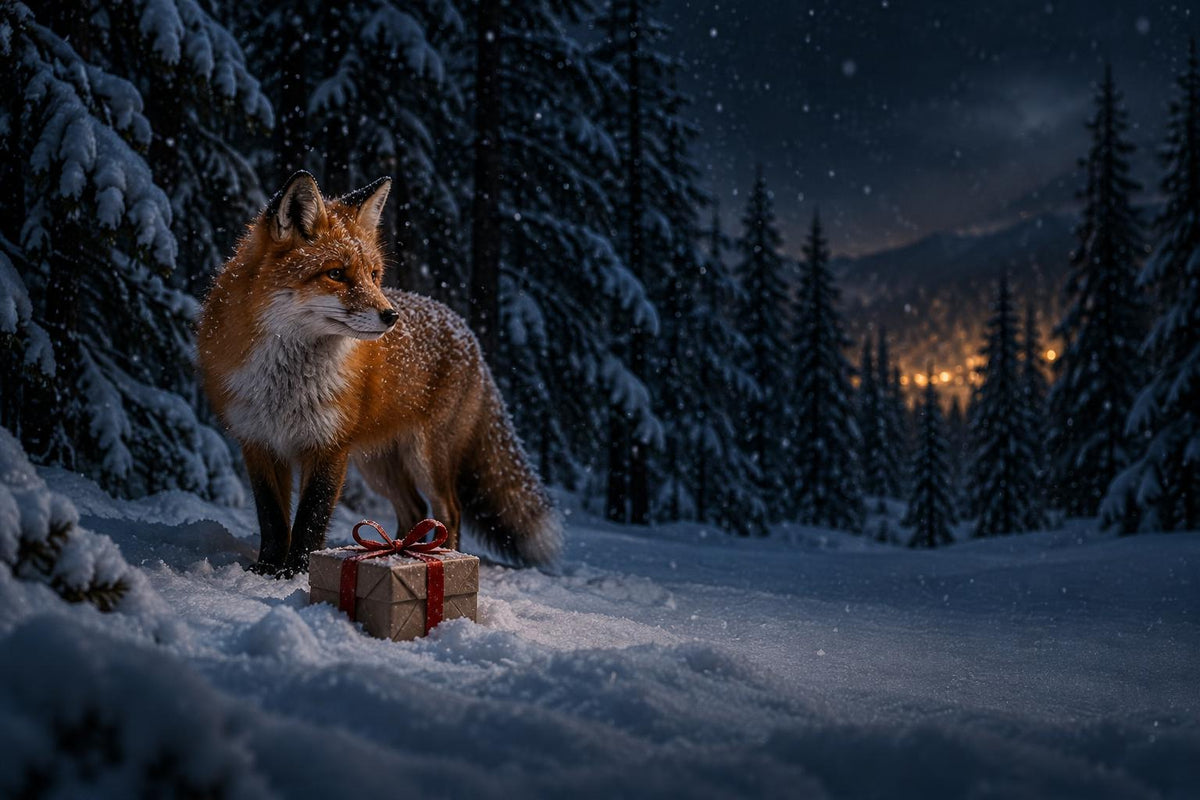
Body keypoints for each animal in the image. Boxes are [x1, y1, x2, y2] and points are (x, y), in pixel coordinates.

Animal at [196, 170, 561, 576]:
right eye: (336, 274)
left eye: (373, 275)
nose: (391, 316)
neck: (286, 383)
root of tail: (466, 331)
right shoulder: (257, 442)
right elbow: (272, 518)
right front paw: (266, 570)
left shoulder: (329, 446)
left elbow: (311, 518)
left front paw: (297, 572)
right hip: (379, 465)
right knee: (415, 508)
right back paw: (397, 552)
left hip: (426, 457)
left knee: (449, 510)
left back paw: (439, 555)